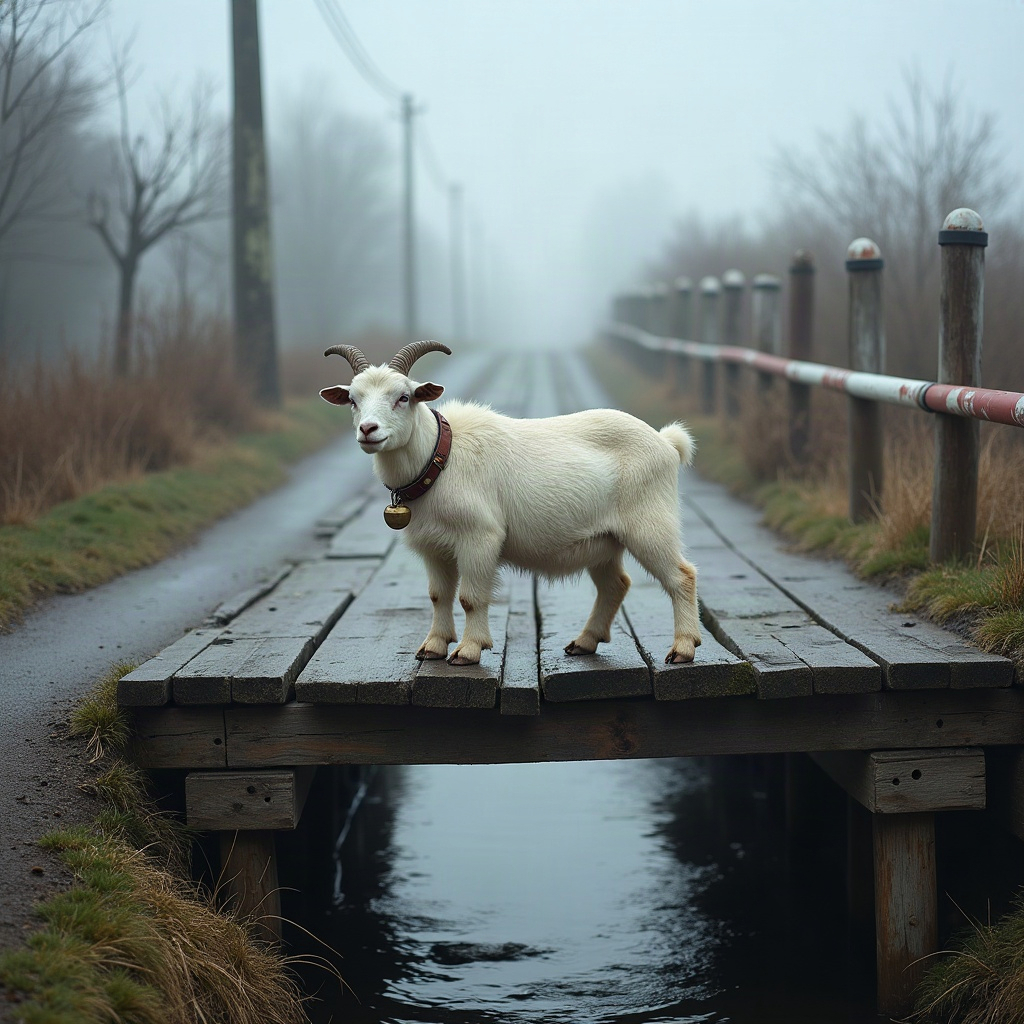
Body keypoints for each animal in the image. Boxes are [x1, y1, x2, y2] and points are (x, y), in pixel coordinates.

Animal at [320, 341, 701, 667]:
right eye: (353, 399)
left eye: (403, 396)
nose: (368, 430)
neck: (440, 457)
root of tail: (667, 443)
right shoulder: (434, 547)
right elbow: (438, 595)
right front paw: (433, 646)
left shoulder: (480, 537)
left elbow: (470, 597)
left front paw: (468, 651)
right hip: (605, 540)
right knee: (615, 584)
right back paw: (584, 642)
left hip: (649, 524)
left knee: (681, 576)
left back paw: (683, 648)